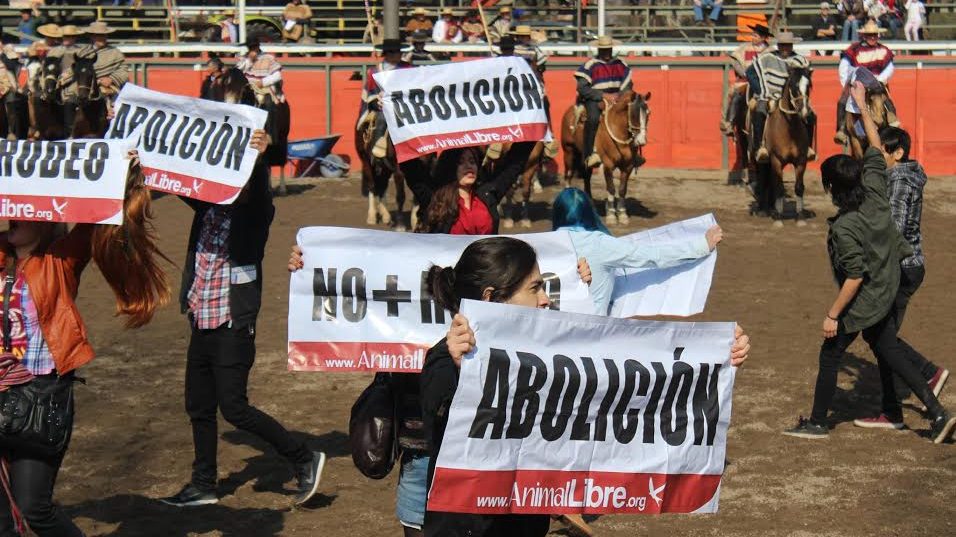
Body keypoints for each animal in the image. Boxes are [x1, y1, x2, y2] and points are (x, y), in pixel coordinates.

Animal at [560, 90, 648, 224]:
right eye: (633, 114)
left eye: (648, 114)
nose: (641, 141)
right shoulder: (608, 165)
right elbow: (611, 188)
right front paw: (611, 215)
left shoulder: (628, 166)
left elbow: (622, 190)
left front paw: (622, 214)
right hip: (569, 151)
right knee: (568, 176)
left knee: (586, 177)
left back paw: (591, 204)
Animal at [752, 67, 812, 226]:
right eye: (794, 86)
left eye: (809, 86)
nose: (805, 112)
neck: (789, 129)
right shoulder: (776, 160)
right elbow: (779, 187)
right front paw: (778, 218)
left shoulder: (801, 161)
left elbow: (799, 187)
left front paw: (800, 217)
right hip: (763, 161)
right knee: (764, 180)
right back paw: (763, 209)